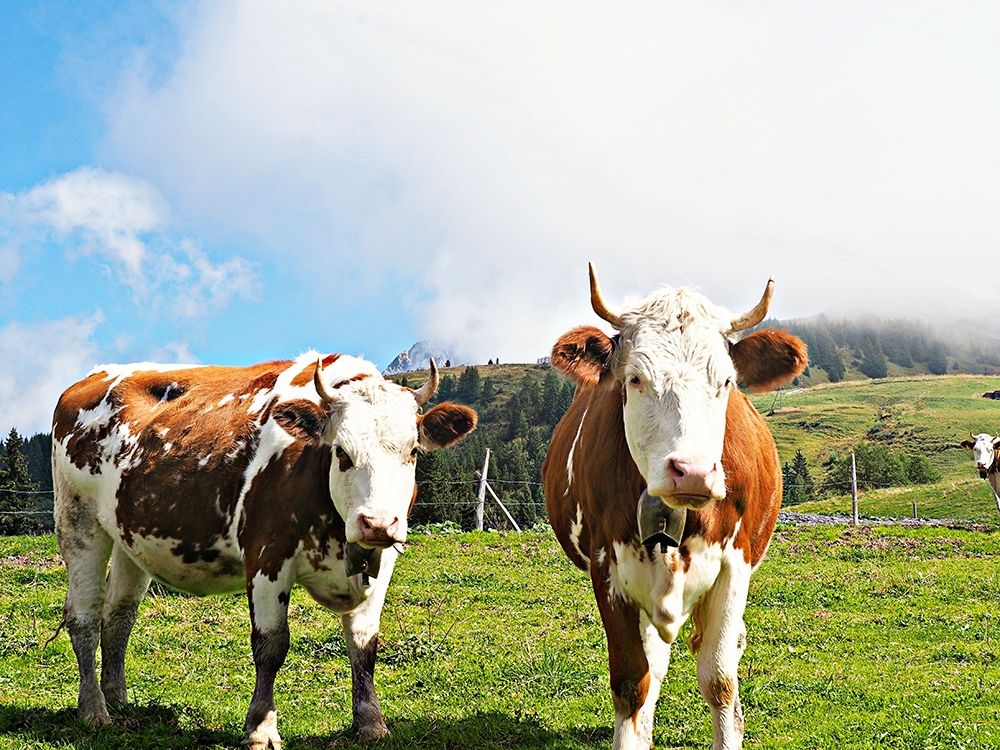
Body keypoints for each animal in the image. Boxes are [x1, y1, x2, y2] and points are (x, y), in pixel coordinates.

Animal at [51, 352, 476, 749]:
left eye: (413, 451)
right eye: (341, 452)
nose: (378, 522)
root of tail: (92, 377)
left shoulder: (382, 561)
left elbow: (363, 645)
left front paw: (370, 721)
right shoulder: (267, 554)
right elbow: (271, 645)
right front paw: (261, 728)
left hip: (129, 536)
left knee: (118, 616)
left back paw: (117, 698)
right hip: (78, 521)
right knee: (83, 618)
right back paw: (94, 709)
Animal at [542, 264, 807, 750]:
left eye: (726, 381)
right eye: (634, 378)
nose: (693, 471)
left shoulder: (734, 565)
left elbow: (719, 680)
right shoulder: (608, 569)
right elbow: (633, 682)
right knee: (654, 665)